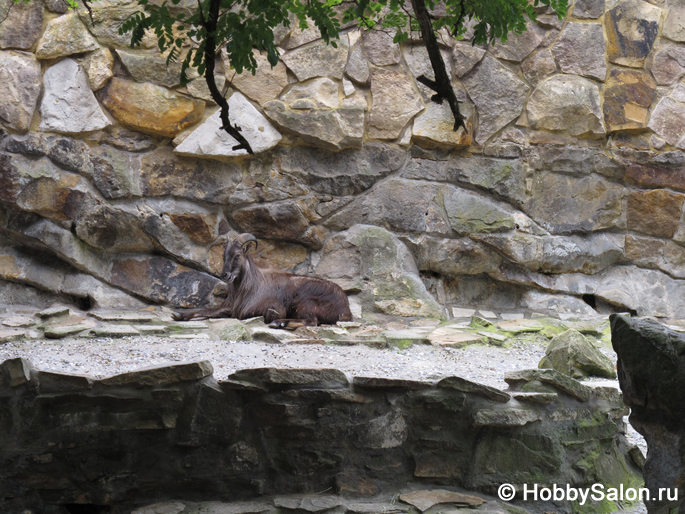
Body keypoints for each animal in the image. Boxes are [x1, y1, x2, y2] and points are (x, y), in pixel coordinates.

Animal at [171, 233, 352, 328]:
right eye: (223, 255)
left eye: (237, 255)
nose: (225, 275)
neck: (248, 287)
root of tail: (345, 309)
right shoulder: (229, 307)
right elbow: (207, 310)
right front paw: (179, 314)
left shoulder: (270, 307)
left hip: (306, 302)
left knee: (312, 321)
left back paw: (279, 323)